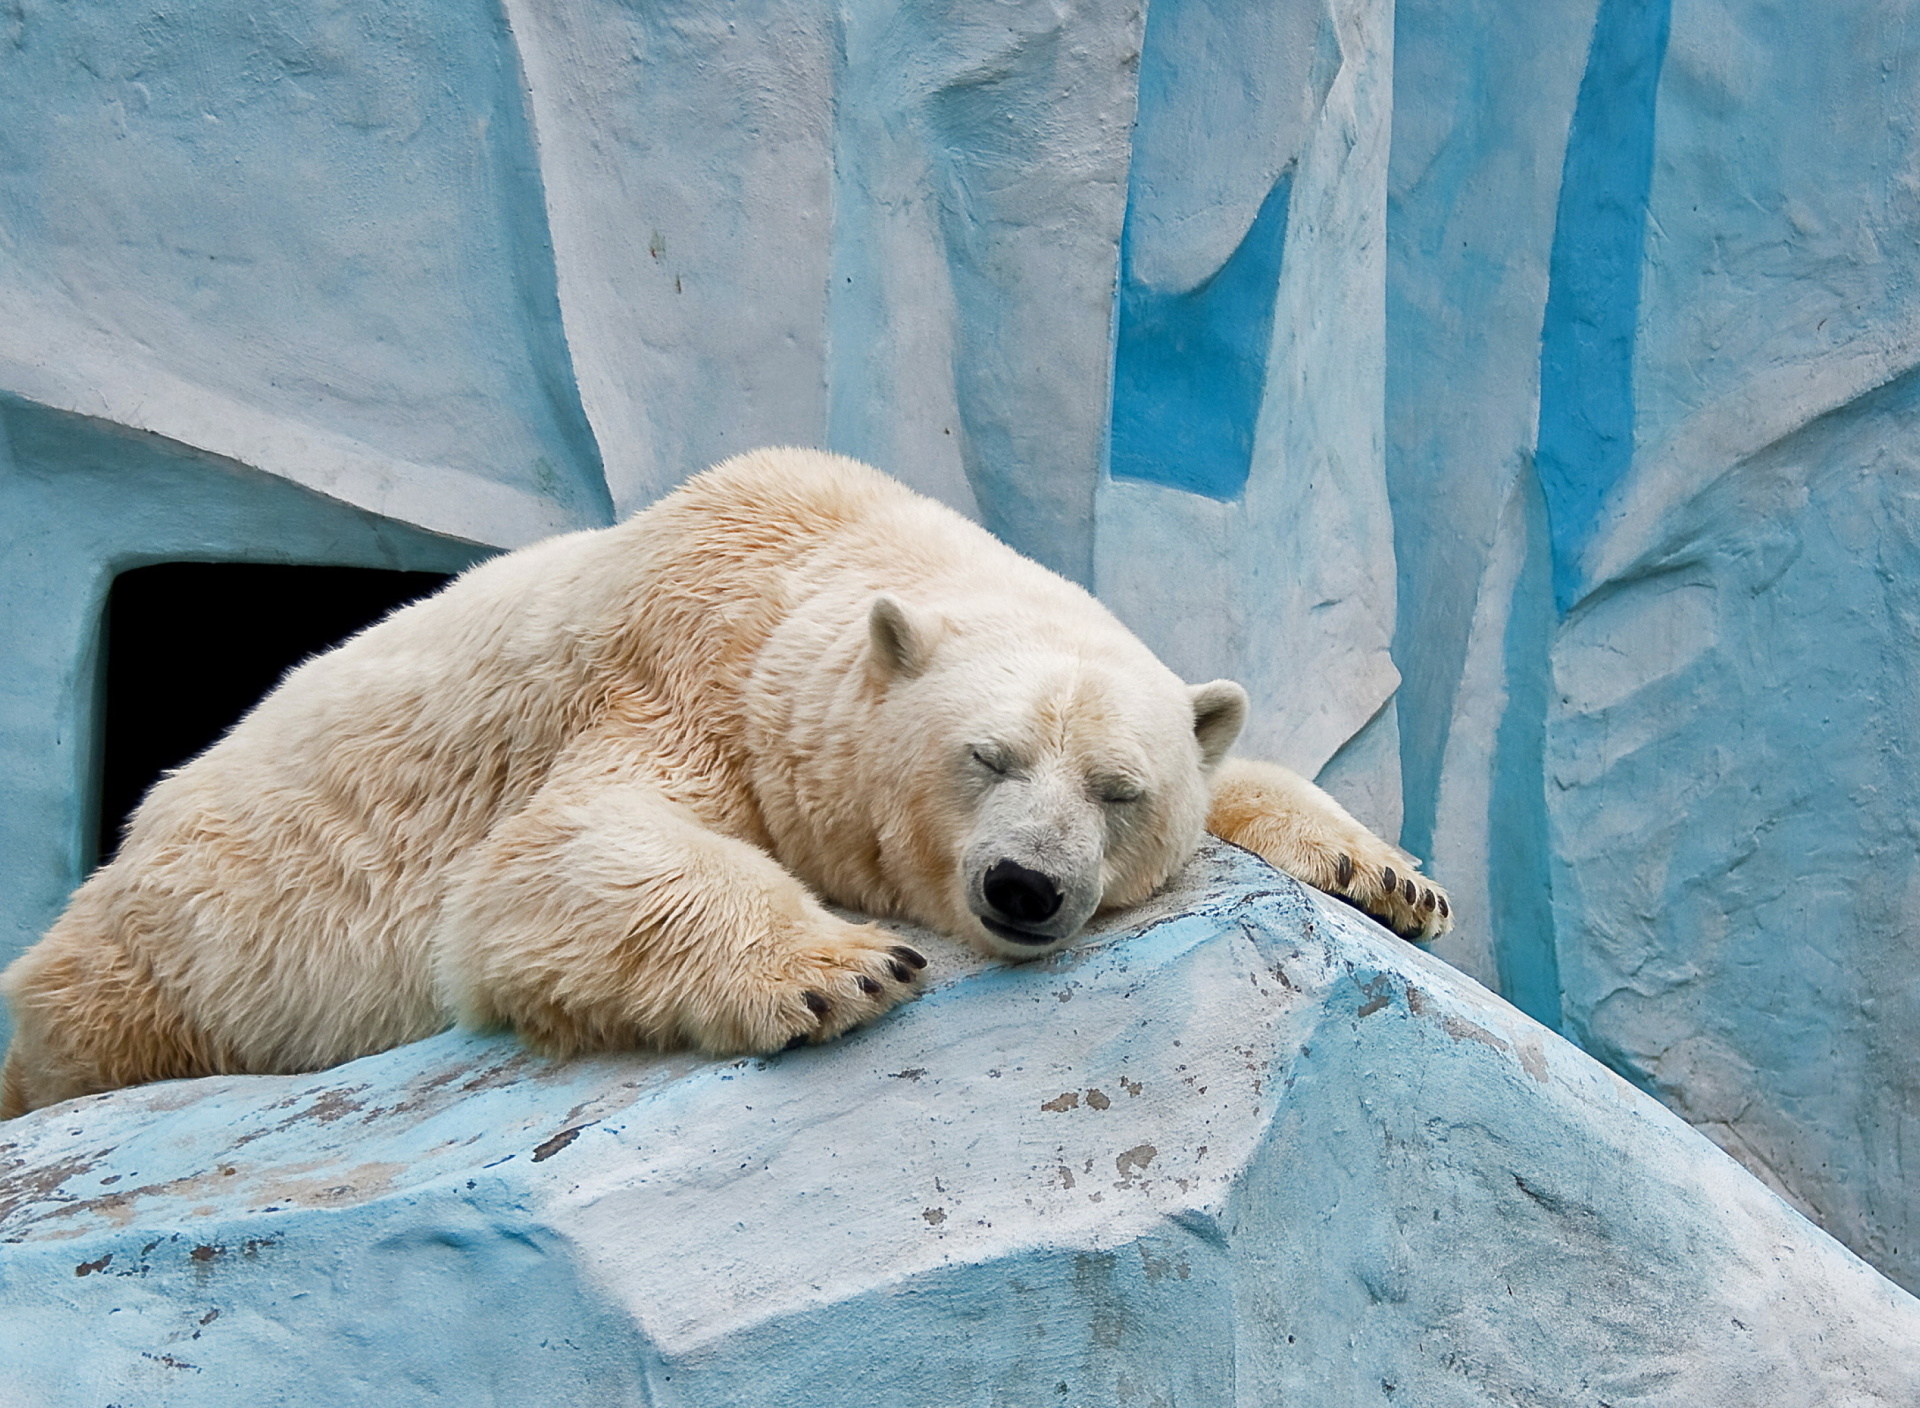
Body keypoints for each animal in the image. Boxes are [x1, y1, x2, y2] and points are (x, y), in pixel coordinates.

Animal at [0, 447, 1443, 1106]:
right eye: (987, 756)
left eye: (1117, 788)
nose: (1026, 889)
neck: (814, 553)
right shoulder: (678, 675)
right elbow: (547, 860)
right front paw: (841, 966)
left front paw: (1391, 876)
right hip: (171, 951)